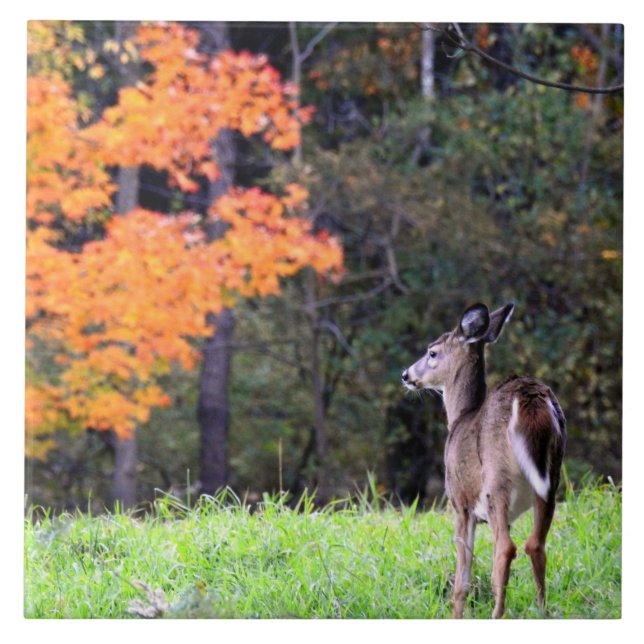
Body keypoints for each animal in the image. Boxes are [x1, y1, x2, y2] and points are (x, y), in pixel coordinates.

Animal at [401, 302, 566, 618]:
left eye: (432, 352)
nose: (405, 374)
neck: (459, 417)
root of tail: (530, 399)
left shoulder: (460, 502)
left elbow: (461, 581)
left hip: (496, 479)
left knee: (506, 548)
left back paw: (497, 615)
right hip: (551, 477)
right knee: (535, 544)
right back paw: (543, 611)